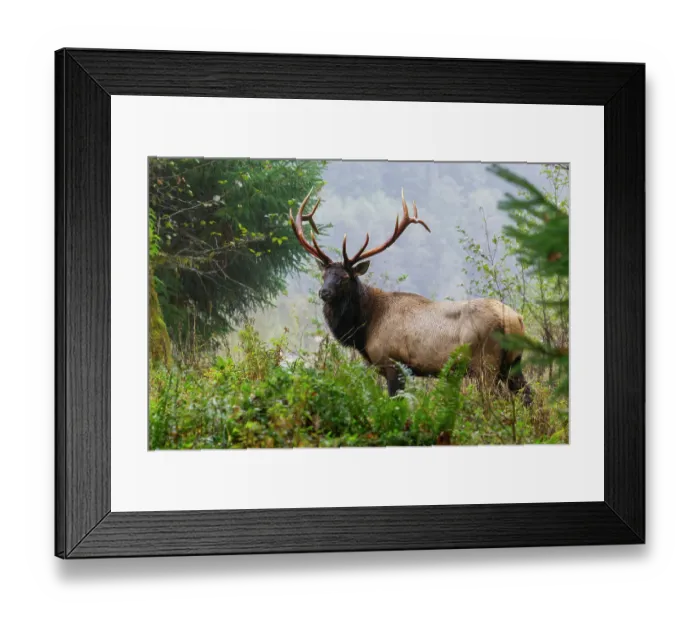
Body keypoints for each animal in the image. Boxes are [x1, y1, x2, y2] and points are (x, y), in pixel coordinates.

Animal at [289, 189, 532, 406]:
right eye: (324, 275)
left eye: (345, 277)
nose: (324, 292)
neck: (365, 327)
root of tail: (516, 320)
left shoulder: (393, 363)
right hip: (513, 362)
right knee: (528, 395)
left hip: (485, 362)